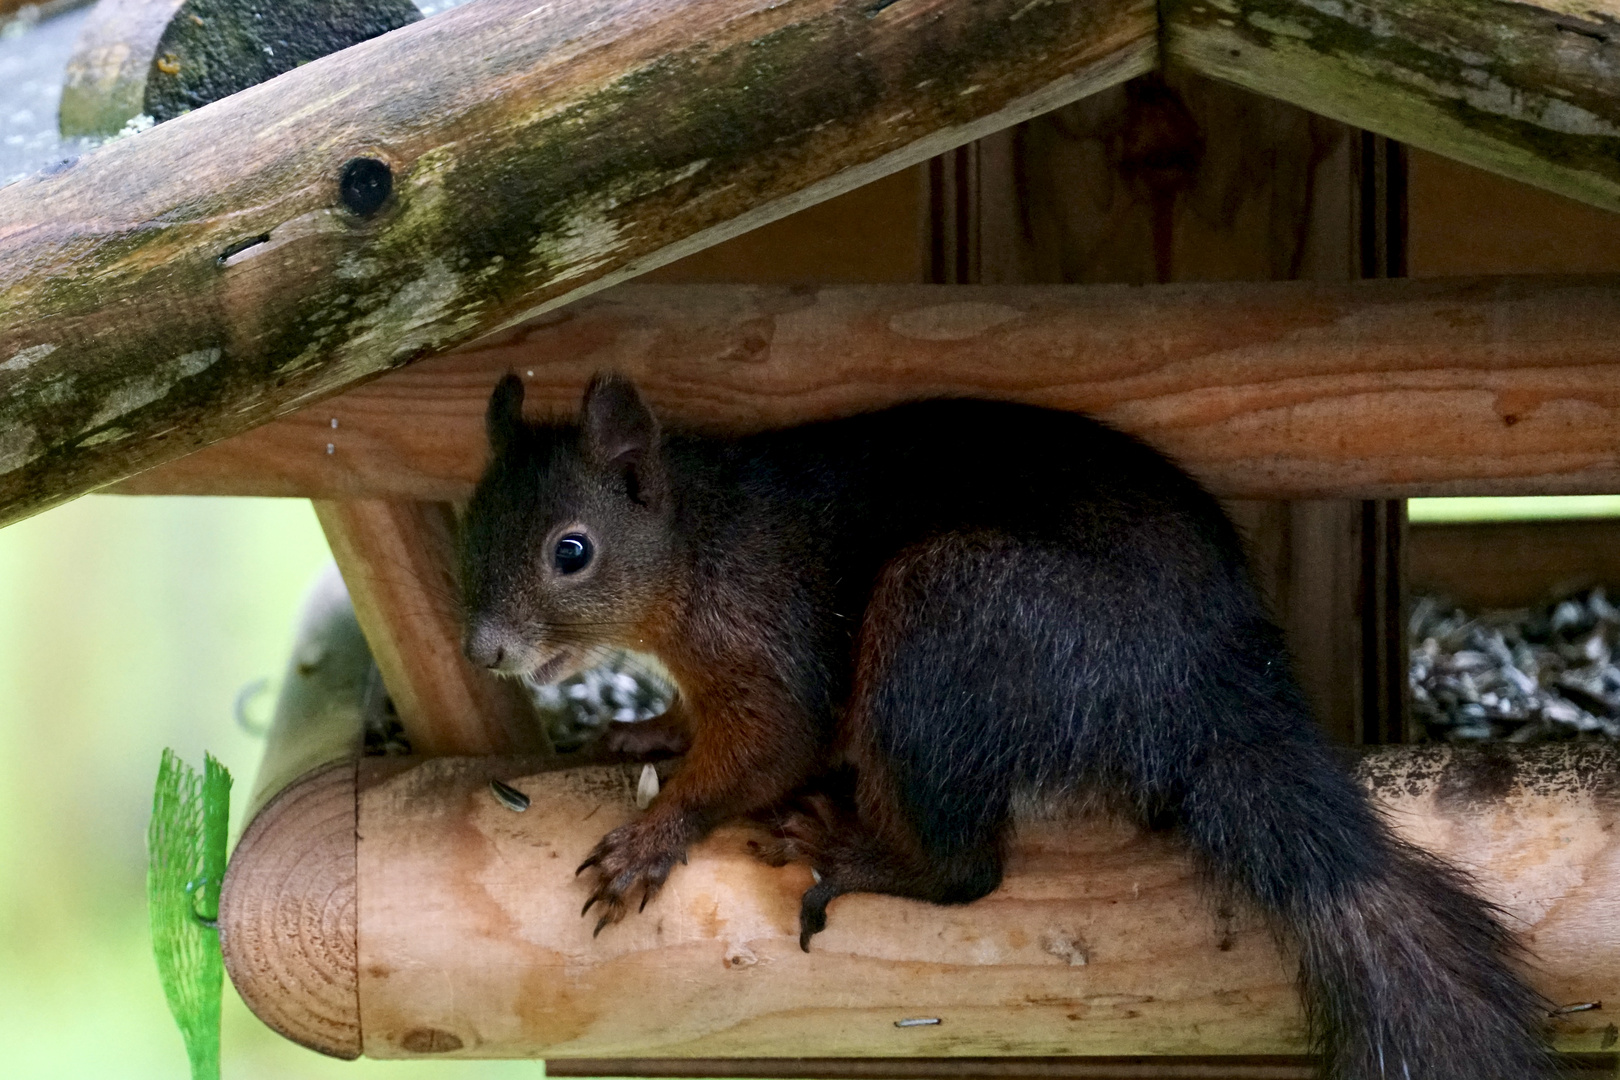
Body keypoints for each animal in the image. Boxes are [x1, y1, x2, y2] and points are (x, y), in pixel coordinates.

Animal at [463, 374, 1548, 1080]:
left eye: (573, 551)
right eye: (467, 532)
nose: (482, 650)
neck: (695, 544)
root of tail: (1212, 698)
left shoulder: (768, 638)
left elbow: (773, 744)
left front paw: (653, 836)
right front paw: (652, 730)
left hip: (957, 615)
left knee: (967, 873)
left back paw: (855, 851)